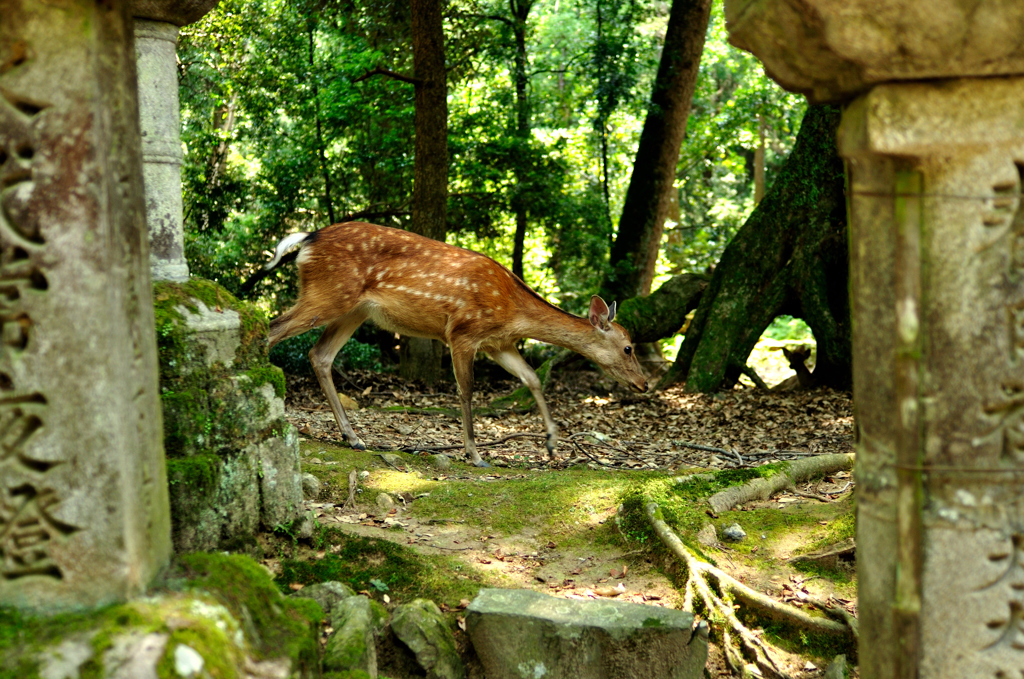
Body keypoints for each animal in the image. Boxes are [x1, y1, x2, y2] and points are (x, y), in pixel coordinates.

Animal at [262, 223, 647, 467]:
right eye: (629, 347)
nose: (644, 383)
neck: (513, 310)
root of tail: (307, 240)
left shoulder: (499, 344)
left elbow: (533, 378)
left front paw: (552, 444)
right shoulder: (463, 331)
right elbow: (467, 390)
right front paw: (475, 455)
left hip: (355, 310)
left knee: (320, 354)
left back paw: (353, 437)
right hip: (329, 293)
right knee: (271, 329)